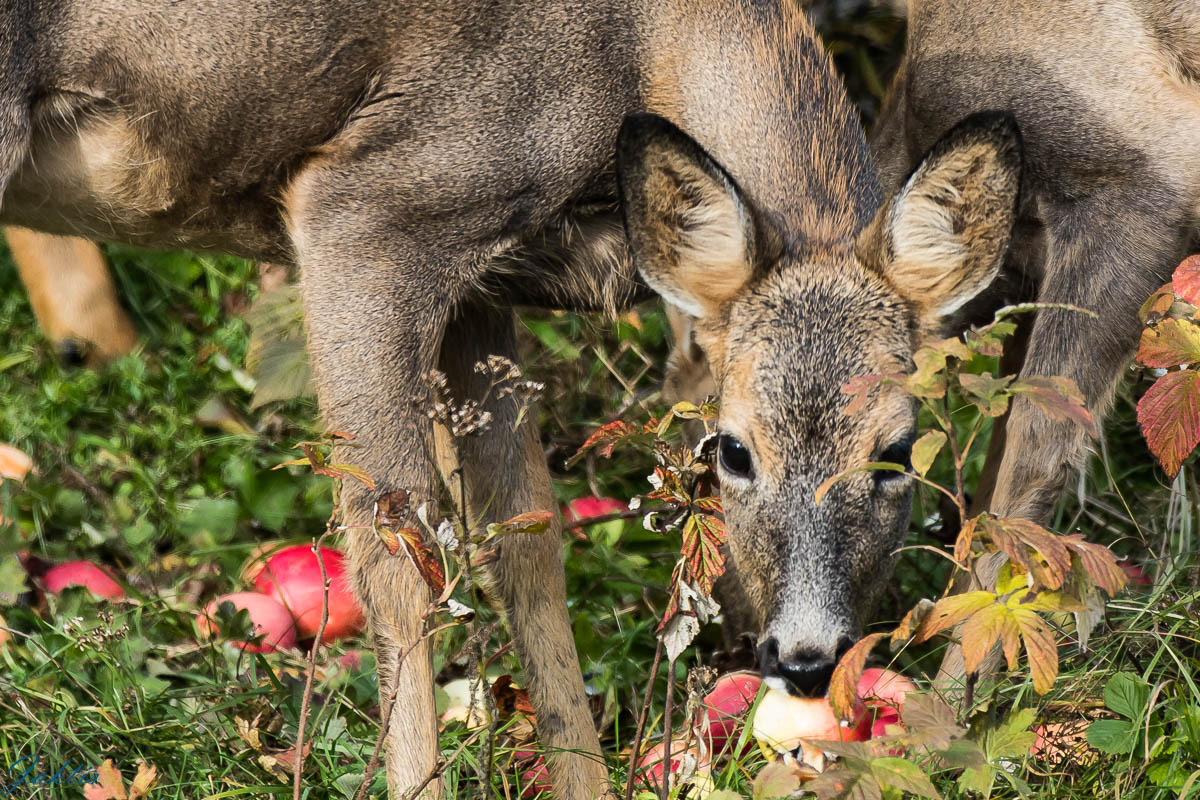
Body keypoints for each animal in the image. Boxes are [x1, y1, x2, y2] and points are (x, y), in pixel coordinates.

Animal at [2, 3, 1022, 796]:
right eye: (733, 449)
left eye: (897, 453)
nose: (806, 660)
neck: (641, 44)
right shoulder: (364, 211)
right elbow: (400, 557)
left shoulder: (482, 289)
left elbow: (526, 543)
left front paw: (585, 782)